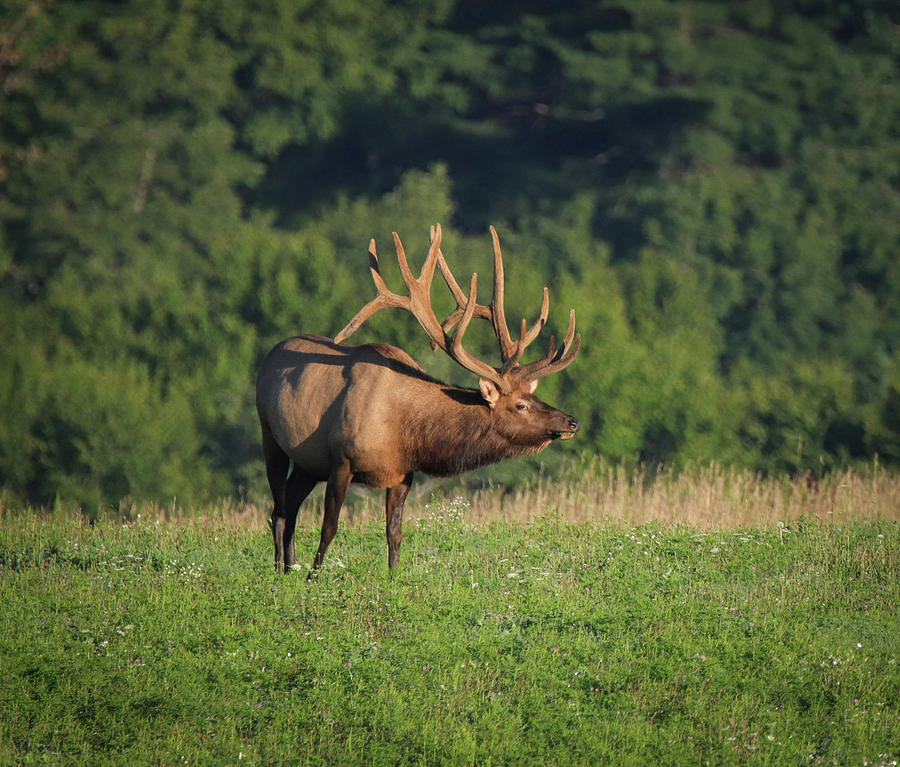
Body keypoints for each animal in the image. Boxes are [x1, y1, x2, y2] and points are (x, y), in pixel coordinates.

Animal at [256, 225, 580, 580]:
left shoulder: (403, 472)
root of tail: (270, 354)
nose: (571, 421)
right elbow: (330, 527)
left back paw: (289, 567)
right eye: (521, 405)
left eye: (535, 395)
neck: (405, 427)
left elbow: (394, 532)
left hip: (308, 462)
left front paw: (393, 577)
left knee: (290, 507)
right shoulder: (341, 460)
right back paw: (280, 571)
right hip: (270, 434)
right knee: (279, 509)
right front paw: (314, 578)